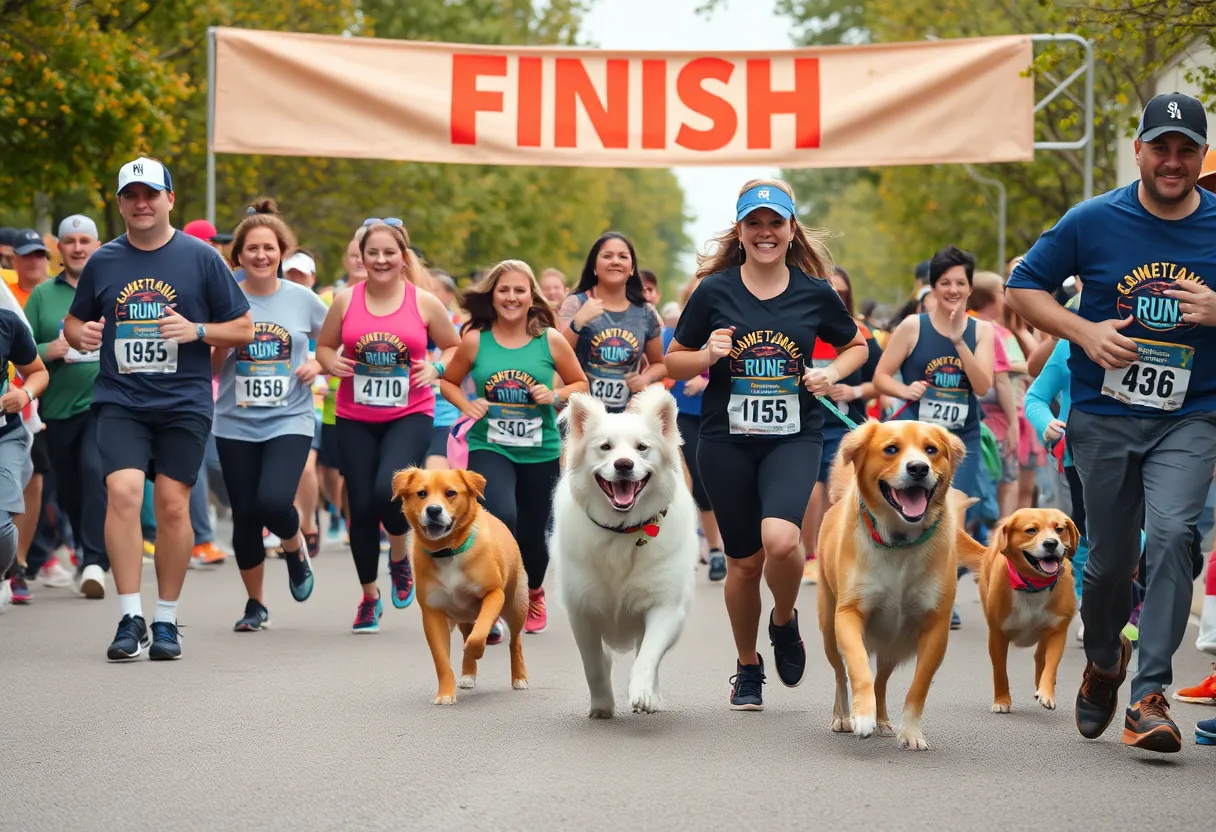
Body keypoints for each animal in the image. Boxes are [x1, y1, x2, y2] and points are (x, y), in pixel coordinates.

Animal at [393, 467, 527, 700]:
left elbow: (478, 635)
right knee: (468, 633)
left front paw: (475, 651)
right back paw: (468, 674)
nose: (433, 510)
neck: (447, 551)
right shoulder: (432, 612)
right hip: (464, 616)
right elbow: (441, 661)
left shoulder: (494, 594)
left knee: (515, 641)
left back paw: (519, 677)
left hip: (515, 605)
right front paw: (446, 694)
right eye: (421, 493)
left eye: (451, 493)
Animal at [549, 384, 695, 715]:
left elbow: (648, 657)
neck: (623, 531)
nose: (624, 464)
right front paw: (602, 705)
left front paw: (643, 694)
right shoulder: (582, 612)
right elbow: (593, 665)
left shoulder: (665, 607)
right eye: (605, 447)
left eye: (642, 448)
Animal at [817, 418, 977, 749]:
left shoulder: (936, 627)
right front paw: (862, 716)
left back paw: (883, 720)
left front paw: (911, 732)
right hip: (828, 630)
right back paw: (843, 716)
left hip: (892, 644)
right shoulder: (848, 614)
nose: (918, 468)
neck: (900, 542)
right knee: (840, 673)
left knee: (881, 680)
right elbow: (858, 668)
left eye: (931, 450)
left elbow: (918, 687)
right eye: (891, 449)